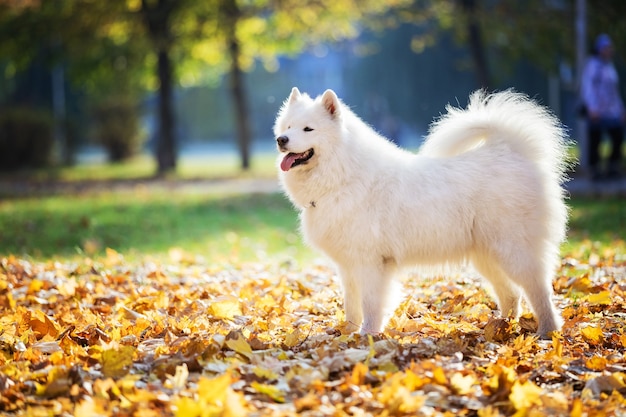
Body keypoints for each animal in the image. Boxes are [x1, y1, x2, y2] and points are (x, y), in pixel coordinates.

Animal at [272, 86, 564, 336]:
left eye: (308, 129)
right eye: (287, 127)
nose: (281, 139)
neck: (343, 175)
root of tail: (509, 151)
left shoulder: (371, 263)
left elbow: (371, 304)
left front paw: (367, 336)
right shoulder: (348, 266)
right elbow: (351, 304)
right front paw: (347, 333)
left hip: (513, 250)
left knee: (539, 291)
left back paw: (547, 332)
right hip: (487, 255)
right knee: (512, 294)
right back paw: (500, 328)